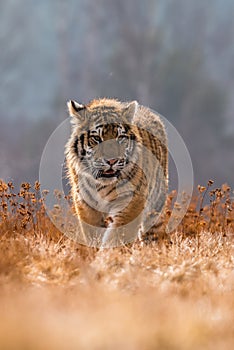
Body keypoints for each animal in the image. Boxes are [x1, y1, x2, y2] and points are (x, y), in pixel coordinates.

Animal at [65, 97, 167, 247]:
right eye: (97, 138)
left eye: (120, 137)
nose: (112, 160)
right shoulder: (86, 204)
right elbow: (93, 234)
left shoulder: (130, 201)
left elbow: (116, 237)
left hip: (156, 205)